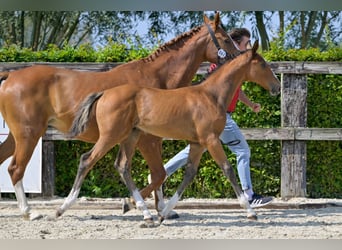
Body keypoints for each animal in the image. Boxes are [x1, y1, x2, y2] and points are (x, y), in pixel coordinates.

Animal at [0, 14, 240, 221]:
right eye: (226, 39)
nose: (239, 59)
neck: (156, 77)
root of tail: (11, 75)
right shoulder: (148, 139)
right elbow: (158, 174)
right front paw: (135, 205)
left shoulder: (152, 138)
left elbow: (157, 175)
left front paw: (162, 209)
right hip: (29, 134)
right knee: (16, 168)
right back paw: (30, 212)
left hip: (17, 136)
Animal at [60, 41, 280, 227]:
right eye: (262, 64)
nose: (276, 87)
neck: (211, 96)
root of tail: (105, 93)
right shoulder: (211, 140)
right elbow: (228, 169)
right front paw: (250, 211)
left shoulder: (198, 143)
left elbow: (189, 174)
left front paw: (164, 213)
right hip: (110, 136)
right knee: (87, 160)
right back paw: (62, 208)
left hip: (130, 136)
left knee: (123, 166)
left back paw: (144, 213)